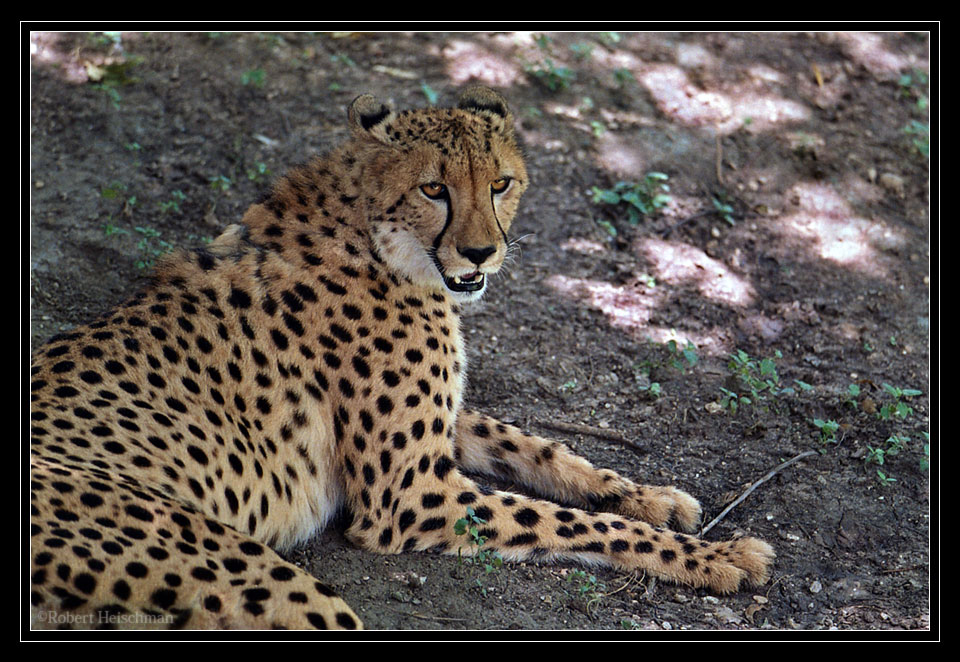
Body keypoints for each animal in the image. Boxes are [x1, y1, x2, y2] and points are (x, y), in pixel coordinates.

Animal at [28, 88, 772, 632]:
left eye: (501, 184)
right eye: (434, 189)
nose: (480, 253)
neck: (371, 232)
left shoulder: (441, 432)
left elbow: (538, 448)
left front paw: (653, 497)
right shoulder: (410, 497)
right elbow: (574, 522)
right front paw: (717, 556)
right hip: (274, 585)